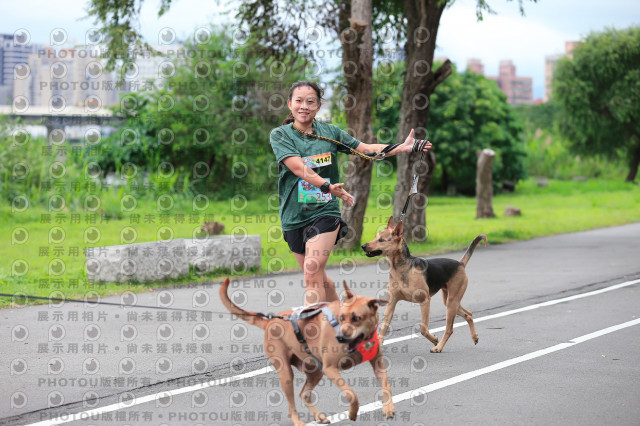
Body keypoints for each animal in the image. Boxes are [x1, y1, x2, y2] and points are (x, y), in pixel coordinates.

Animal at [220, 278, 396, 424]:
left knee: (303, 394)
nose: (339, 337)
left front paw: (388, 407)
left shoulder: (378, 363)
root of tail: (270, 322)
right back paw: (298, 422)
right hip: (286, 374)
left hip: (315, 371)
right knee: (291, 406)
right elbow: (351, 394)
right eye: (341, 318)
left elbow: (386, 384)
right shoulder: (330, 369)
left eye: (356, 318)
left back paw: (318, 416)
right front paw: (353, 412)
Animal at [360, 216, 484, 352]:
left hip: (452, 302)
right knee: (469, 314)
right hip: (450, 301)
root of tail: (460, 263)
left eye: (381, 240)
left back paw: (439, 347)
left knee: (449, 329)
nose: (362, 246)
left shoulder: (425, 301)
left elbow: (423, 329)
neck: (401, 268)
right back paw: (474, 337)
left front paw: (434, 339)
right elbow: (383, 329)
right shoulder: (391, 303)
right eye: (375, 237)